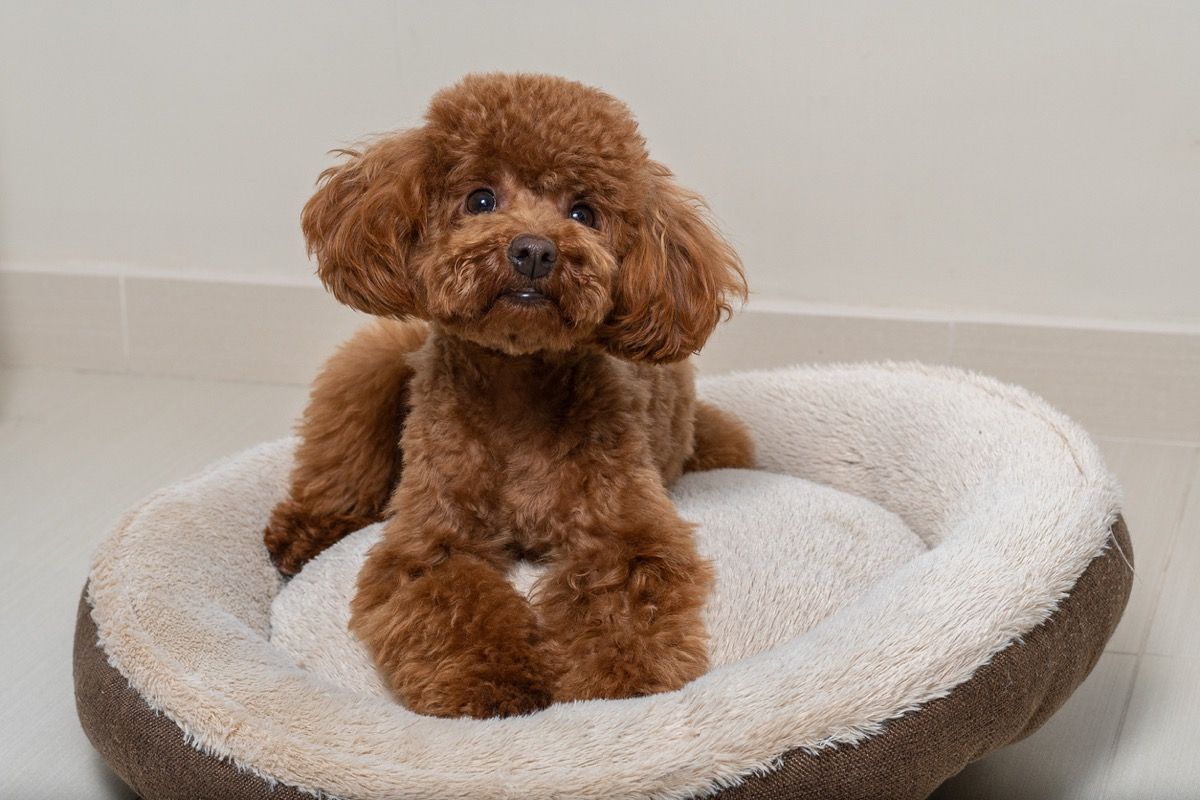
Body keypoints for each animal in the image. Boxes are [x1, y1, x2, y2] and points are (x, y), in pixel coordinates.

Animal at [265, 73, 748, 719]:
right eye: (480, 200)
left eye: (584, 212)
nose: (535, 250)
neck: (517, 391)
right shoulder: (432, 539)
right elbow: (456, 601)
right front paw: (493, 689)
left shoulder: (626, 530)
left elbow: (622, 598)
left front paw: (619, 686)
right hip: (373, 364)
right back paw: (307, 530)